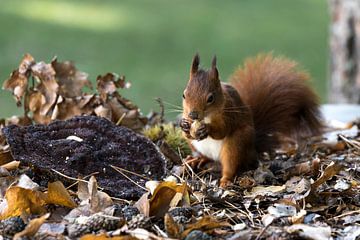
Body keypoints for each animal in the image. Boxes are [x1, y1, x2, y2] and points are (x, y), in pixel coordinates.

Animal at [180, 54, 324, 188]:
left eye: (211, 98)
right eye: (184, 95)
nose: (192, 115)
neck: (206, 118)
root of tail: (253, 151)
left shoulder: (230, 114)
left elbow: (222, 131)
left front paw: (207, 129)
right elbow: (187, 132)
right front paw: (184, 125)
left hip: (236, 143)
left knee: (230, 166)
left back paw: (225, 180)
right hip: (196, 146)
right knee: (206, 156)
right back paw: (196, 159)